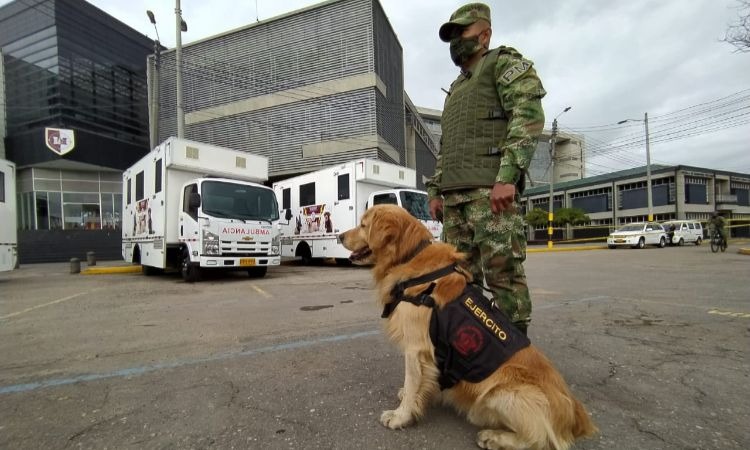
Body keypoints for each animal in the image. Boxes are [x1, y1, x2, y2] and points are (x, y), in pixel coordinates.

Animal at [342, 205, 600, 450]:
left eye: (363, 225)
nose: (340, 236)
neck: (409, 256)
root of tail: (576, 415)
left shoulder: (416, 347)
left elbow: (413, 381)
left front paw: (400, 416)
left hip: (504, 393)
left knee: (539, 439)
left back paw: (494, 438)